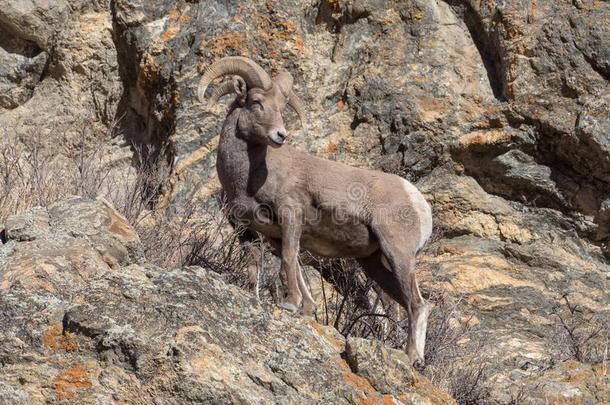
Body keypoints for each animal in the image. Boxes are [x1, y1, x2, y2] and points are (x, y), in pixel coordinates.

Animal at [197, 55, 430, 362]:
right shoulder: (257, 232)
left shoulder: (290, 218)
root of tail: (418, 202)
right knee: (406, 302)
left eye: (281, 107)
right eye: (256, 102)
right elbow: (269, 267)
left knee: (416, 303)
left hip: (398, 255)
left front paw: (291, 304)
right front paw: (298, 306)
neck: (249, 175)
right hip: (373, 264)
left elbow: (288, 259)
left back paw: (413, 357)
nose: (280, 135)